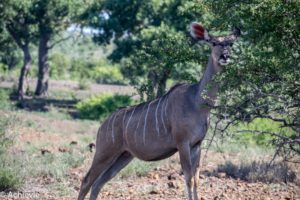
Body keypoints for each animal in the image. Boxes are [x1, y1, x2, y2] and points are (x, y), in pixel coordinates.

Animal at [78, 22, 240, 200]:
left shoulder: (197, 145)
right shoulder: (182, 143)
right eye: (213, 42)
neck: (198, 102)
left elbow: (197, 179)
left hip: (124, 156)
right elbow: (189, 179)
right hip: (105, 152)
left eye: (231, 44)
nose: (225, 56)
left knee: (98, 183)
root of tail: (102, 126)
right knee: (87, 181)